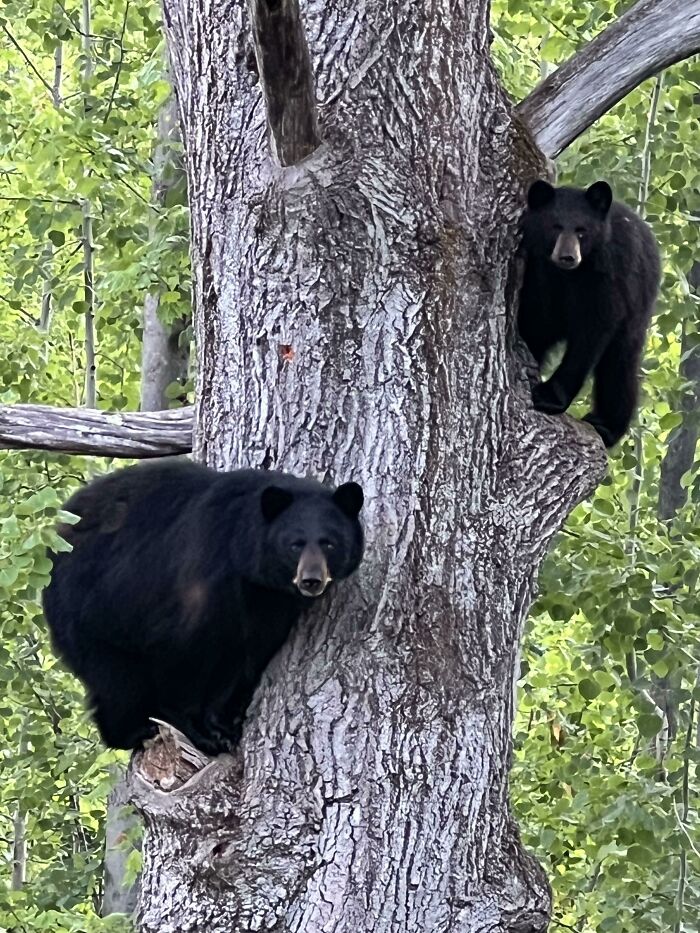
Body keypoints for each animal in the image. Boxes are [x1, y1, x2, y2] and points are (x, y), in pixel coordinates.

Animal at [42, 459, 365, 756]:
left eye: (329, 543)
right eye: (295, 544)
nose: (311, 580)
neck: (241, 556)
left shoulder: (268, 603)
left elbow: (244, 657)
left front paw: (224, 723)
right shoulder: (201, 581)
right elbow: (184, 653)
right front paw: (201, 731)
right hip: (86, 607)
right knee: (116, 679)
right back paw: (131, 730)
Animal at [518, 179, 661, 447]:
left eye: (582, 231)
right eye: (555, 226)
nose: (567, 256)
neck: (569, 276)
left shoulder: (606, 279)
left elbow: (591, 334)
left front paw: (550, 396)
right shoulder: (541, 277)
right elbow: (535, 323)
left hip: (637, 307)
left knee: (619, 364)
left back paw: (607, 425)